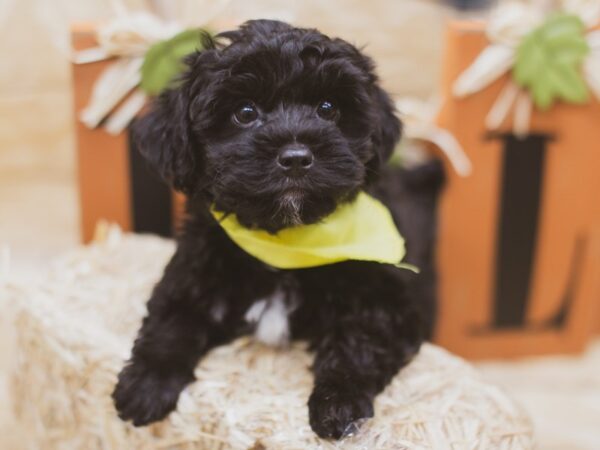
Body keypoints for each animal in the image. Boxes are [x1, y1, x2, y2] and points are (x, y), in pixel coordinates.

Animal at [113, 20, 432, 440]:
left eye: (328, 109)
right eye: (245, 112)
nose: (296, 158)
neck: (285, 241)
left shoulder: (389, 301)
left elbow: (360, 341)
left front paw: (337, 404)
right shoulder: (193, 270)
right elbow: (171, 319)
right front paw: (145, 386)